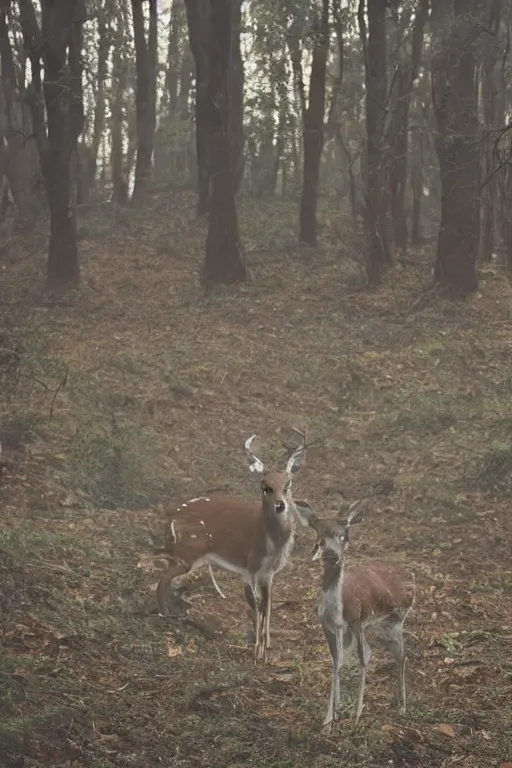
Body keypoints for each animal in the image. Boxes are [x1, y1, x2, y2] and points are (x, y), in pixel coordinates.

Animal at [155, 432, 308, 660]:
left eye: (288, 484)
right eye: (265, 486)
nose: (280, 505)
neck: (270, 542)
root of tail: (172, 519)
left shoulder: (268, 572)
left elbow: (267, 605)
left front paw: (266, 646)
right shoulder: (251, 567)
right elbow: (256, 605)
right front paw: (257, 650)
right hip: (188, 552)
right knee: (163, 581)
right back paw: (167, 615)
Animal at [298, 498, 414, 732]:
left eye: (344, 536)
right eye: (319, 537)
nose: (333, 555)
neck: (337, 610)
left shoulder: (357, 620)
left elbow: (361, 660)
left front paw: (356, 715)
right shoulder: (329, 626)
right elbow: (336, 662)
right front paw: (329, 718)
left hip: (395, 619)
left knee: (400, 655)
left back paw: (402, 707)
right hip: (375, 628)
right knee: (378, 651)